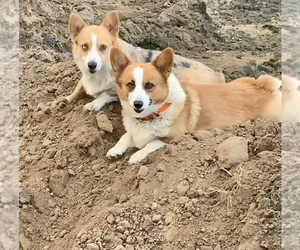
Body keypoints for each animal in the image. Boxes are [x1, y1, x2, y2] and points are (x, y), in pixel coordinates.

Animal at [61, 10, 225, 110]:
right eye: (84, 46)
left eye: (103, 47)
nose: (92, 65)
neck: (100, 73)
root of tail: (220, 77)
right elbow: (78, 86)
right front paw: (66, 99)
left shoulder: (117, 89)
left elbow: (104, 94)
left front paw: (93, 104)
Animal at [106, 47, 282, 165]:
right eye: (130, 84)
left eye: (149, 85)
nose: (138, 104)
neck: (151, 116)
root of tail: (260, 85)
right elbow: (125, 136)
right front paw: (115, 150)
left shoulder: (174, 137)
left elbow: (152, 142)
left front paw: (137, 155)